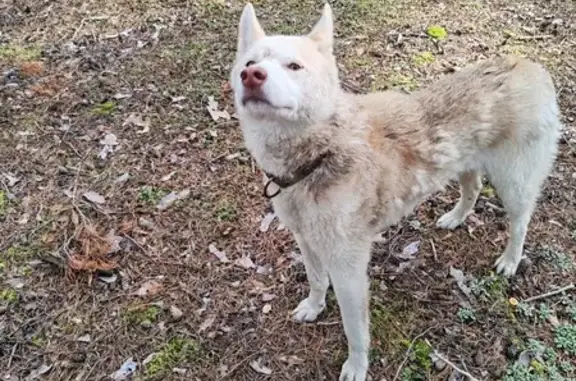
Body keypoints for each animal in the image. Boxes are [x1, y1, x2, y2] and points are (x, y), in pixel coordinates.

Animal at [228, 3, 564, 380]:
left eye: (294, 66)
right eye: (249, 62)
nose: (252, 76)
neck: (319, 153)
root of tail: (530, 65)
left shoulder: (348, 268)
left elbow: (354, 329)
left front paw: (357, 365)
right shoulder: (306, 240)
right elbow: (315, 280)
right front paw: (314, 307)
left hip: (514, 184)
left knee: (520, 222)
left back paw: (510, 259)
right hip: (466, 164)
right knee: (474, 187)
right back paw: (456, 217)